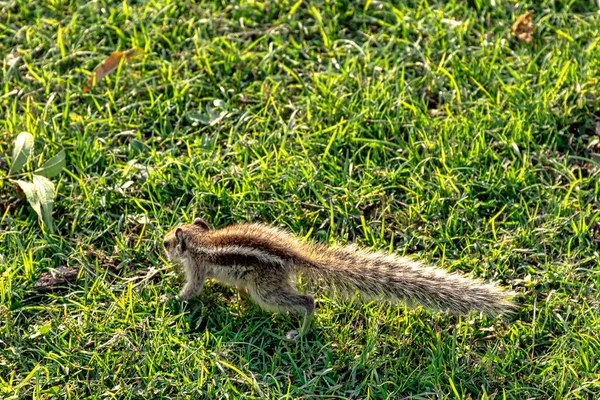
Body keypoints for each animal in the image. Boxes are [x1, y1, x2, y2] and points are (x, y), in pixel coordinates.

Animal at [163, 217, 516, 340]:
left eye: (168, 242)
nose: (162, 245)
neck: (199, 240)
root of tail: (295, 256)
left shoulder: (196, 268)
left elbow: (192, 290)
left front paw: (170, 299)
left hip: (266, 291)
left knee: (307, 300)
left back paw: (299, 332)